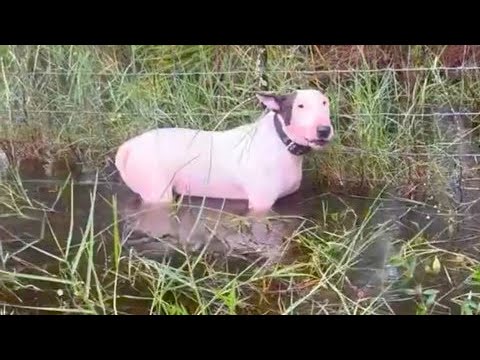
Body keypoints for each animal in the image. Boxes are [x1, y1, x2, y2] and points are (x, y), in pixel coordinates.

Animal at [115, 89, 334, 215]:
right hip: (157, 193)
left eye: (325, 103)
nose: (324, 130)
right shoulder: (260, 205)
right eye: (300, 106)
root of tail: (129, 147)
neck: (282, 142)